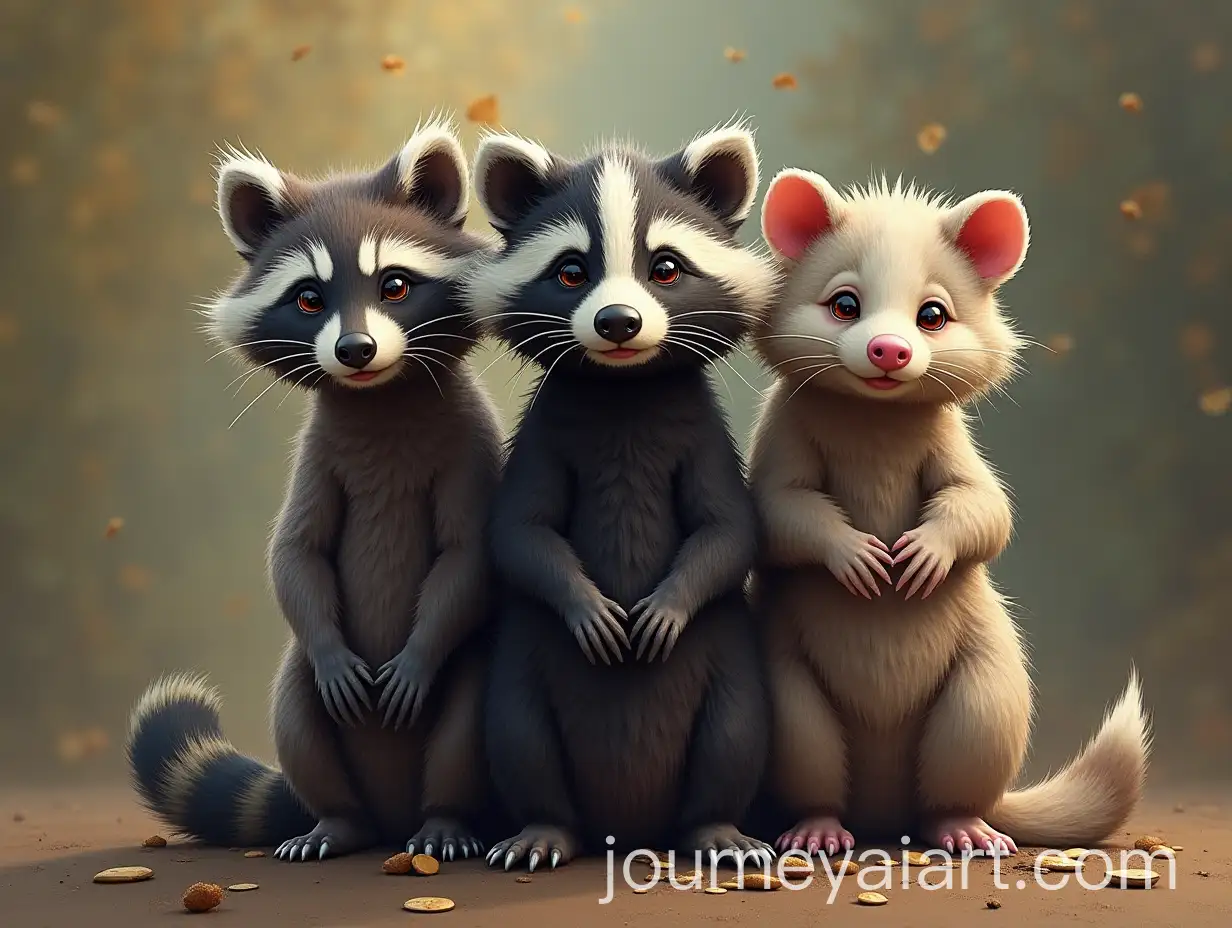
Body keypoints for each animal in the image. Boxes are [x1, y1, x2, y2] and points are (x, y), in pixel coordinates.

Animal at [126, 118, 505, 862]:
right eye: (309, 298)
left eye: (394, 286)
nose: (355, 350)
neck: (380, 398)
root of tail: (393, 817)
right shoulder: (318, 457)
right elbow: (294, 553)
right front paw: (329, 641)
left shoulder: (470, 446)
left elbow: (468, 556)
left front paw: (418, 653)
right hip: (300, 685)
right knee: (298, 717)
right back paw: (337, 822)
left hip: (475, 674)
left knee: (466, 730)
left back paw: (445, 820)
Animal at [462, 122, 781, 870]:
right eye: (571, 271)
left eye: (664, 267)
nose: (617, 322)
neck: (624, 386)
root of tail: (627, 828)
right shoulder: (546, 432)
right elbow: (519, 531)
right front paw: (583, 600)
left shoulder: (701, 434)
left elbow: (729, 530)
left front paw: (669, 601)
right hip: (523, 660)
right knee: (520, 737)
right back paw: (544, 829)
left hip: (729, 663)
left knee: (734, 736)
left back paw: (715, 829)